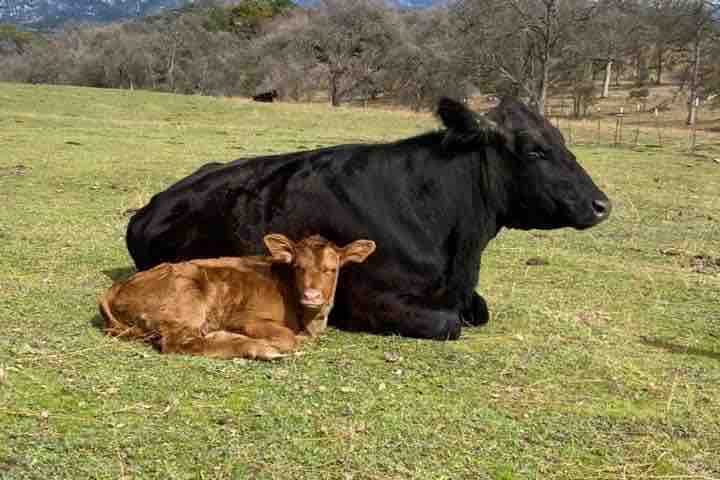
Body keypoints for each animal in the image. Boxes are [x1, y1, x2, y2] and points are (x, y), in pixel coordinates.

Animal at [100, 234, 376, 362]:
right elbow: (288, 338)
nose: (311, 295)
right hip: (186, 298)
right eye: (298, 267)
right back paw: (257, 347)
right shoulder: (246, 318)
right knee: (180, 343)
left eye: (332, 269)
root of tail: (118, 286)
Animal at [126, 97, 612, 340]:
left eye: (561, 139)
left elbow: (479, 310)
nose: (602, 204)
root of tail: (153, 204)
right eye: (535, 150)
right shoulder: (370, 299)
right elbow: (449, 323)